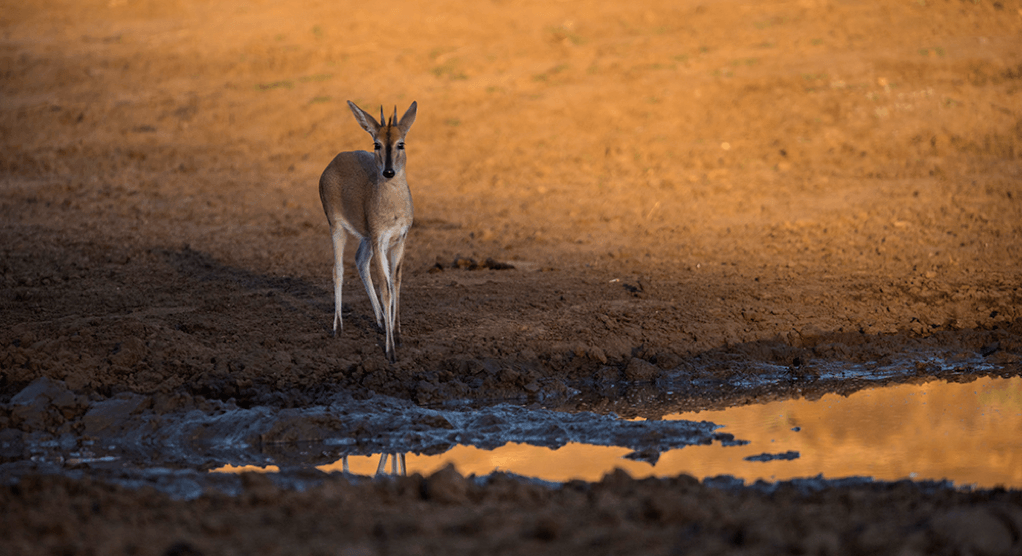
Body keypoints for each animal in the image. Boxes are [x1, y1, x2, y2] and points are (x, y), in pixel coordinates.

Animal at [316, 100, 416, 361]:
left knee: (360, 261)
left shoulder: (399, 240)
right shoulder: (380, 240)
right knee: (338, 270)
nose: (389, 172)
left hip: (365, 237)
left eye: (401, 143)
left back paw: (380, 322)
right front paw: (390, 351)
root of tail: (334, 161)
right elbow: (386, 288)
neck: (392, 208)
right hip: (337, 228)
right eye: (376, 144)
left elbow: (396, 283)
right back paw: (338, 328)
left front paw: (397, 335)